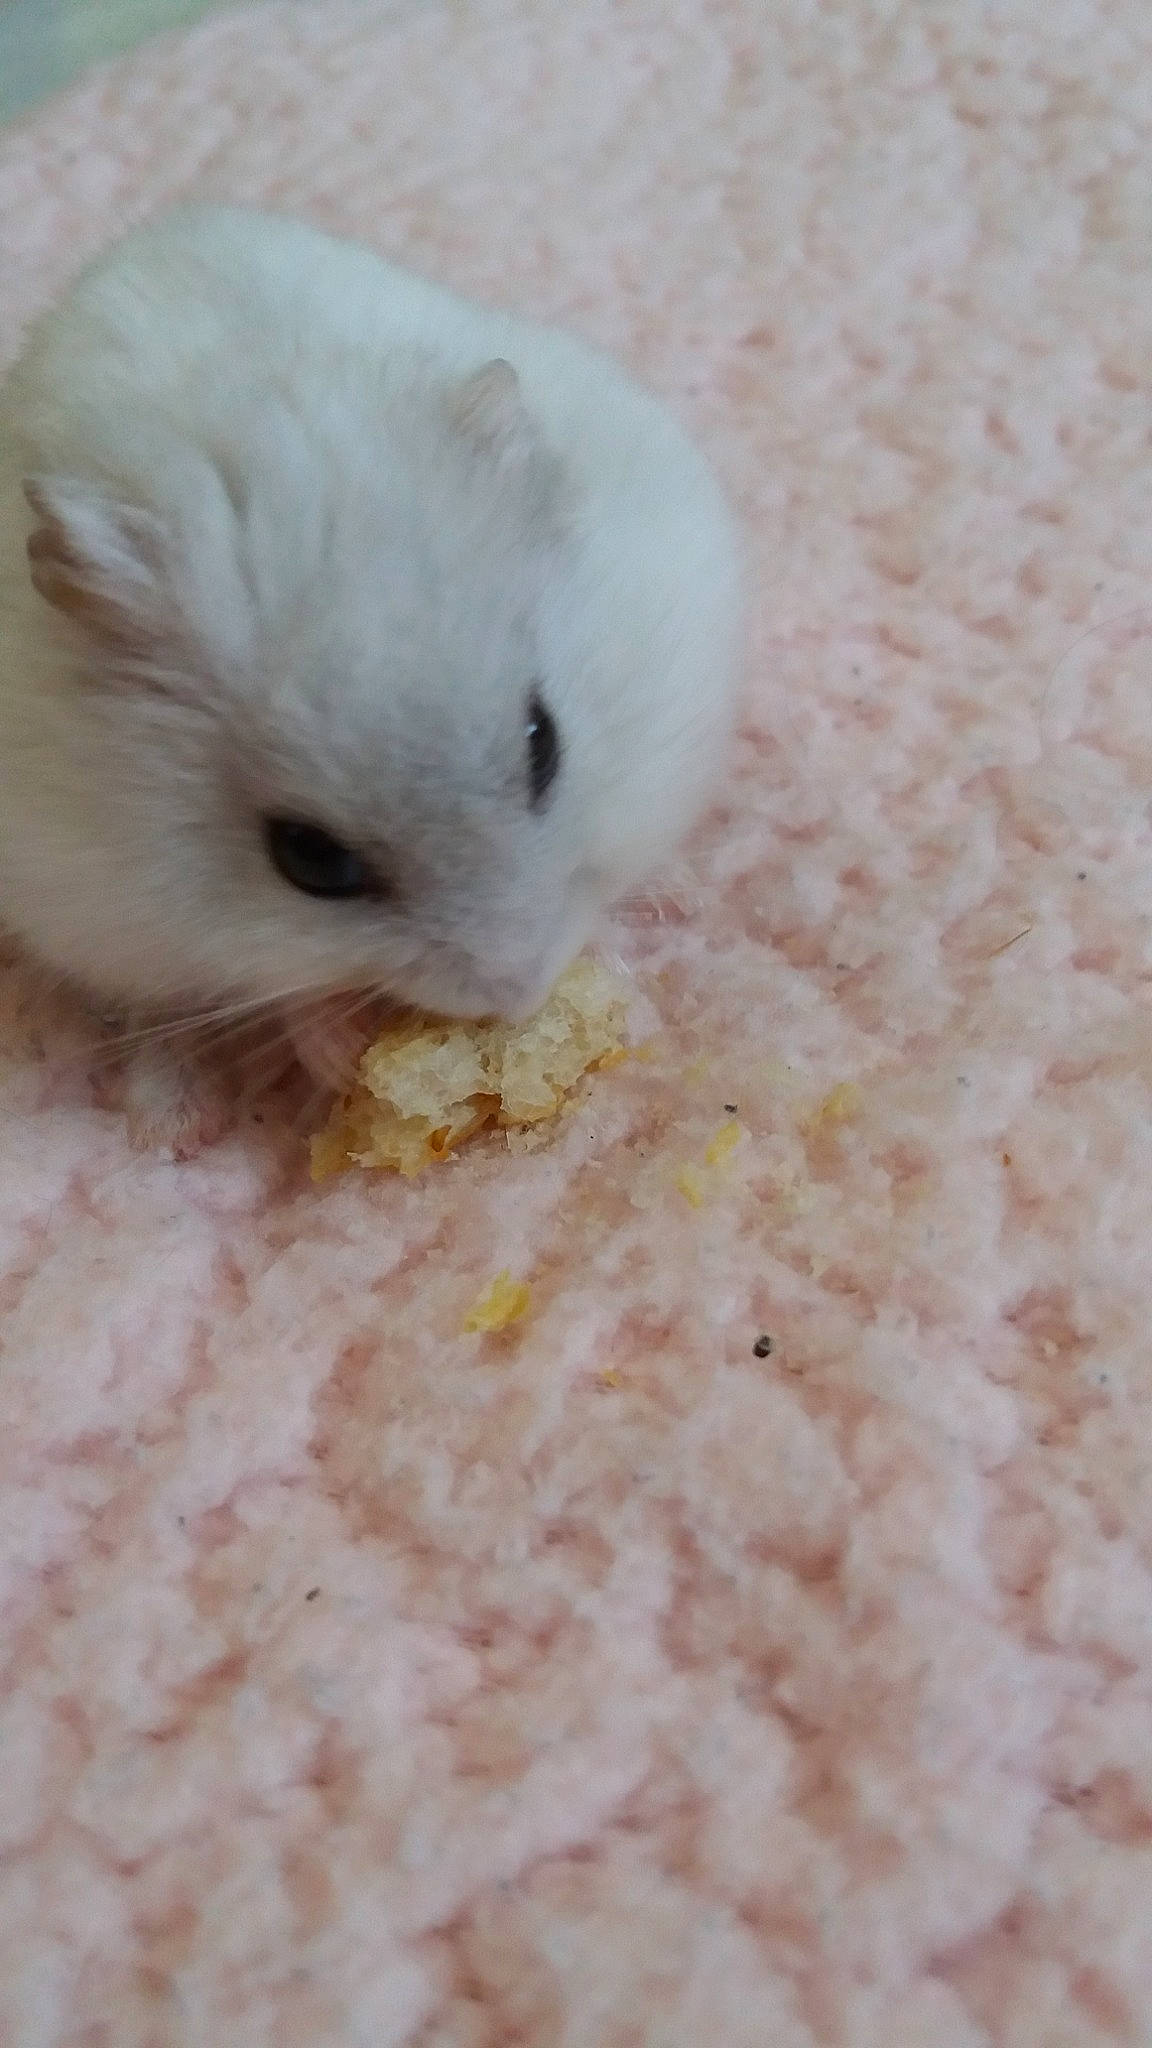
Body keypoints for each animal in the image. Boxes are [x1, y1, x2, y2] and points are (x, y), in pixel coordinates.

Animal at [0, 207, 740, 1142]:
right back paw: (175, 1122)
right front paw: (337, 1053)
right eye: (309, 861)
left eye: (545, 746)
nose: (518, 995)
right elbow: (275, 981)